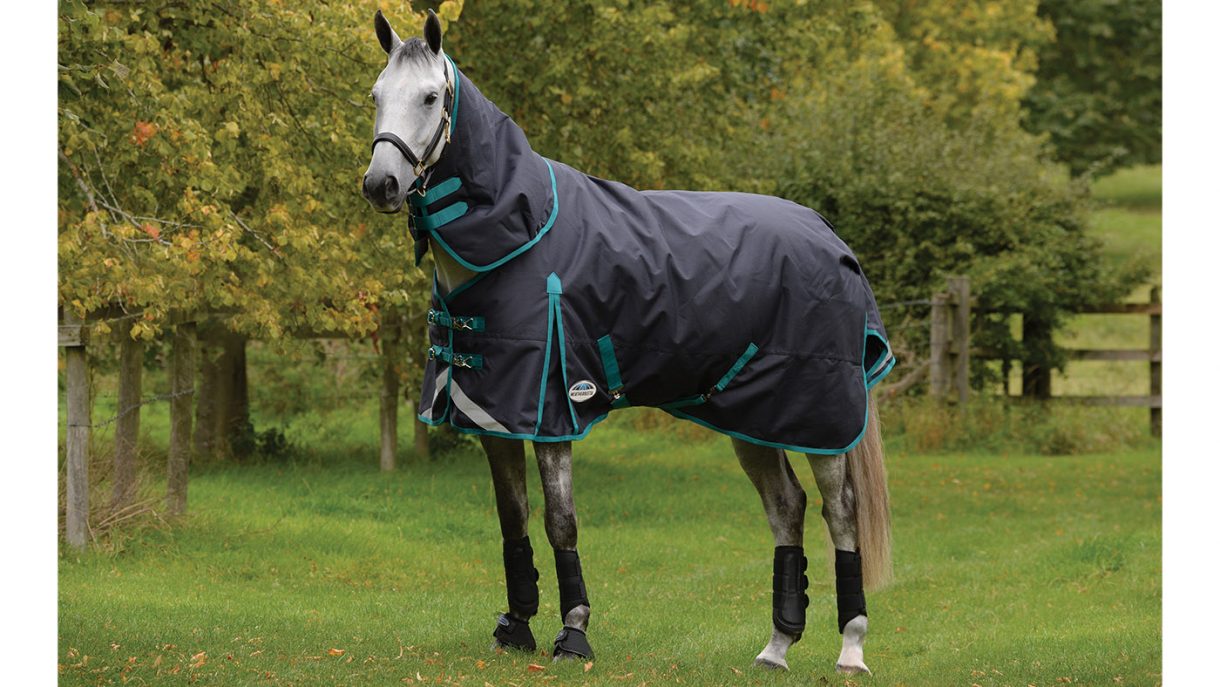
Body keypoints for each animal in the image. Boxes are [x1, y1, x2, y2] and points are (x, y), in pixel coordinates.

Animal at [361, 10, 894, 675]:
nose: (380, 184)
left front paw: (573, 633)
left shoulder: (553, 412)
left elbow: (561, 522)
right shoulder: (495, 414)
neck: (518, 235)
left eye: (431, 97)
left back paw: (851, 649)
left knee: (839, 511)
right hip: (754, 417)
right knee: (786, 507)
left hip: (820, 418)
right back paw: (776, 647)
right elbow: (513, 518)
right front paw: (517, 626)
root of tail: (827, 234)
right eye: (375, 96)